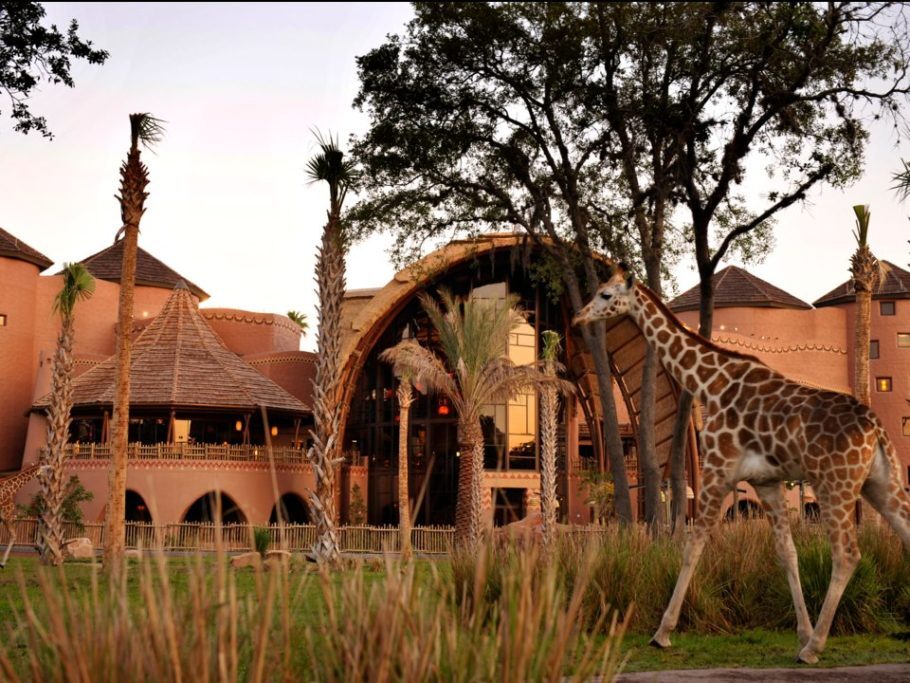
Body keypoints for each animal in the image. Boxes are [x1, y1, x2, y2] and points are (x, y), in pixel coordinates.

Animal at [576, 262, 910, 664]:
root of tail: (876, 427)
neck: (709, 381)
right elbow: (787, 553)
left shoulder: (717, 469)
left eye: (606, 294)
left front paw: (662, 633)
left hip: (835, 484)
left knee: (847, 554)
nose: (579, 317)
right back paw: (820, 641)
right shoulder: (766, 482)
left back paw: (814, 649)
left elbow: (693, 543)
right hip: (880, 483)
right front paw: (801, 632)